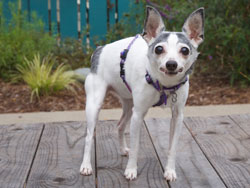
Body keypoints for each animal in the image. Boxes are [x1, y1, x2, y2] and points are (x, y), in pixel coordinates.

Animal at [80, 5, 205, 181]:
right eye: (159, 49)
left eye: (185, 50)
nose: (171, 64)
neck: (164, 84)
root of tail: (99, 49)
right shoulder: (138, 115)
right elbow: (136, 146)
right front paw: (131, 170)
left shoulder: (177, 117)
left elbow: (172, 148)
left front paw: (170, 170)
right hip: (94, 105)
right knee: (89, 136)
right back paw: (86, 166)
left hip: (128, 104)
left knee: (120, 125)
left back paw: (122, 149)